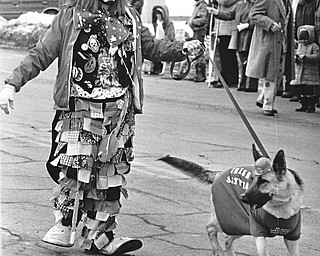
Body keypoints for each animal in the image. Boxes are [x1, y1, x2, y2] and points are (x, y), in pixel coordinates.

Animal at [159, 145, 304, 255]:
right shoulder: (259, 234)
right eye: (252, 179)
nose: (242, 197)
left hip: (241, 225)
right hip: (229, 221)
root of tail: (218, 174)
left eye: (263, 181)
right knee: (210, 228)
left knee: (227, 238)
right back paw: (217, 251)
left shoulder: (292, 238)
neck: (280, 206)